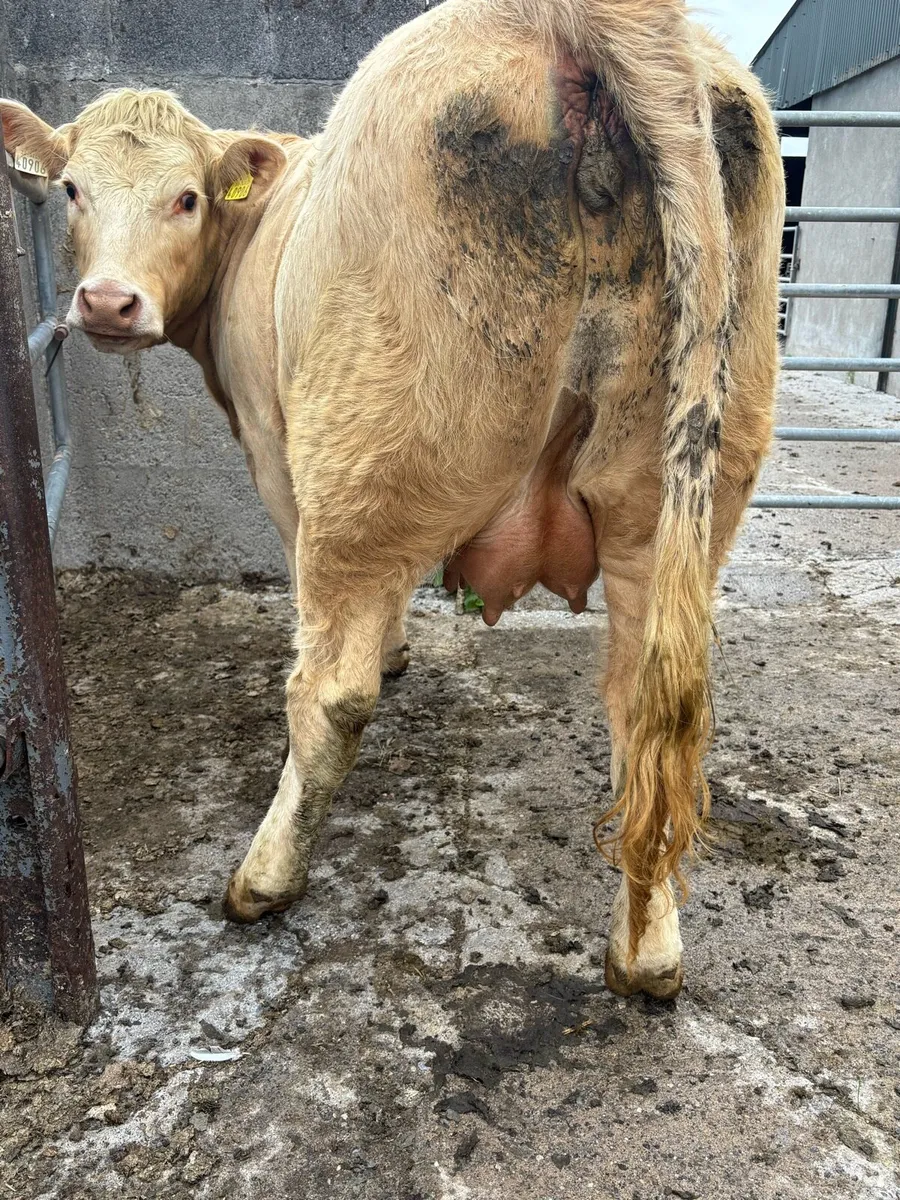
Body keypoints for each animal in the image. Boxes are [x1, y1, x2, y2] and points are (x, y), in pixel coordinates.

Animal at [1, 0, 784, 999]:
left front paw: (391, 651)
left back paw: (262, 879)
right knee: (651, 709)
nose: (107, 302)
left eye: (186, 198)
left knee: (332, 692)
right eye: (70, 190)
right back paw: (647, 953)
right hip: (677, 487)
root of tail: (589, 22)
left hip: (367, 453)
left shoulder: (273, 447)